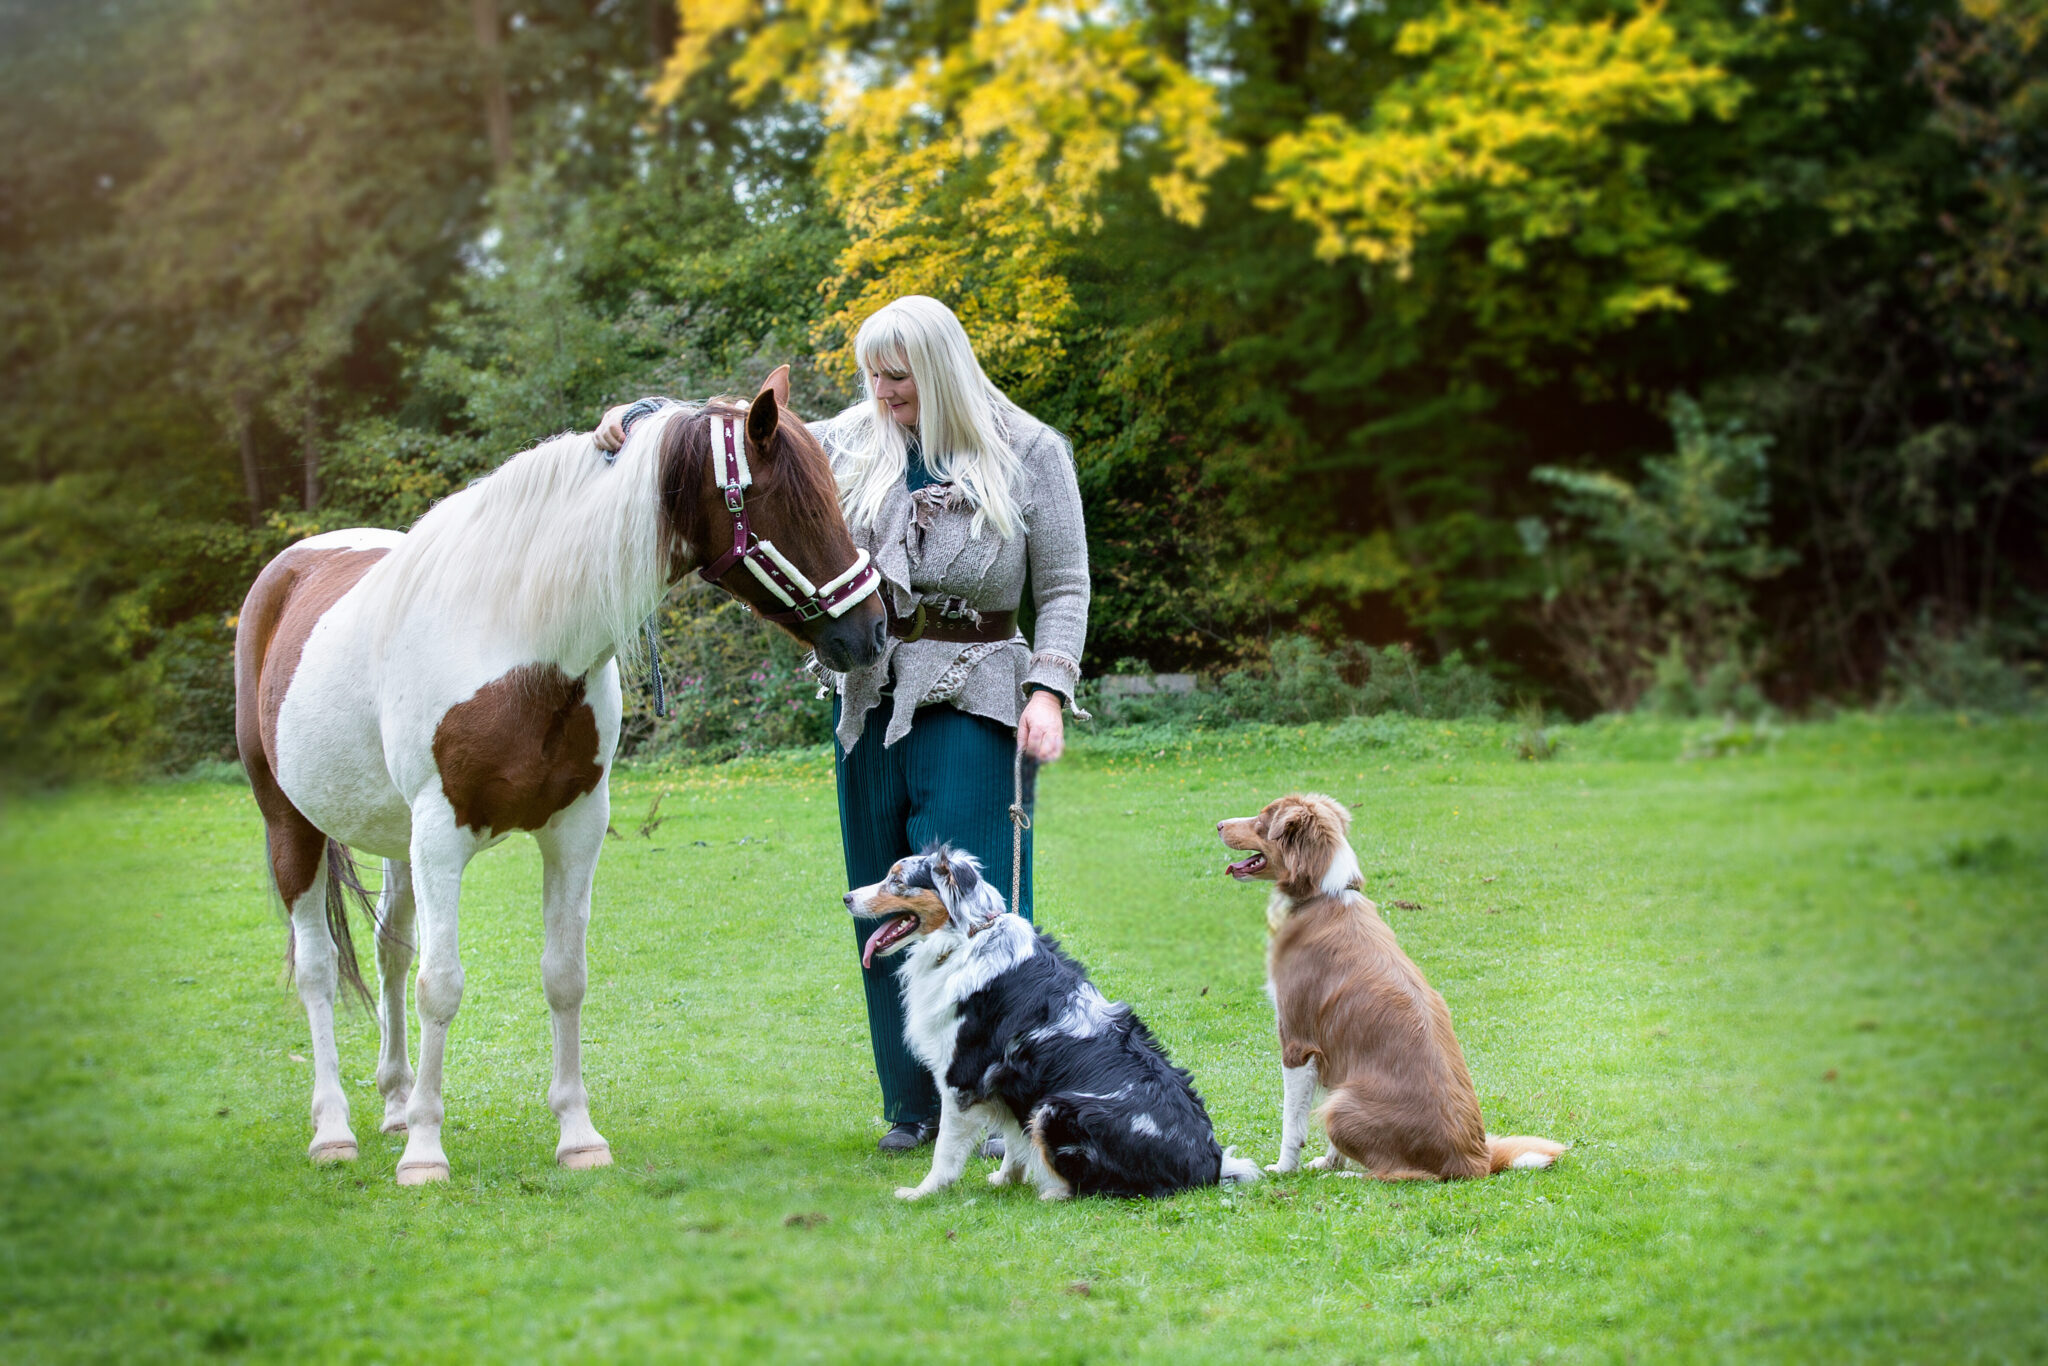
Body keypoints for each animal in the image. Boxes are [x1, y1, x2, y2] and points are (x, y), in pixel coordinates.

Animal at [234, 370, 888, 1187]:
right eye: (798, 506)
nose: (874, 630)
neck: (517, 639)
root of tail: (291, 569)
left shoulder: (573, 828)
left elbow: (562, 974)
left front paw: (577, 1135)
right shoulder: (441, 835)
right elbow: (440, 985)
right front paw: (425, 1153)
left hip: (393, 839)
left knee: (389, 950)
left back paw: (392, 1104)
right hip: (291, 824)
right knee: (320, 970)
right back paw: (335, 1129)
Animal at [839, 839, 1253, 1204]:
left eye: (897, 881)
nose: (846, 898)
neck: (970, 936)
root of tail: (1209, 1166)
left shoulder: (962, 1078)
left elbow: (946, 1152)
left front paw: (922, 1193)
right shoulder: (1007, 1086)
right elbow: (1013, 1142)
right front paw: (1006, 1179)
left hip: (1054, 1109)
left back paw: (1055, 1192)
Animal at [1212, 794, 1564, 1179]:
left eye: (1262, 820)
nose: (1218, 824)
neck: (1322, 893)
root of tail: (1476, 1162)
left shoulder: (1297, 1041)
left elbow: (1292, 1122)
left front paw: (1284, 1168)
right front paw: (1328, 1161)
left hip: (1344, 1105)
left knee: (1397, 1174)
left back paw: (1351, 1176)